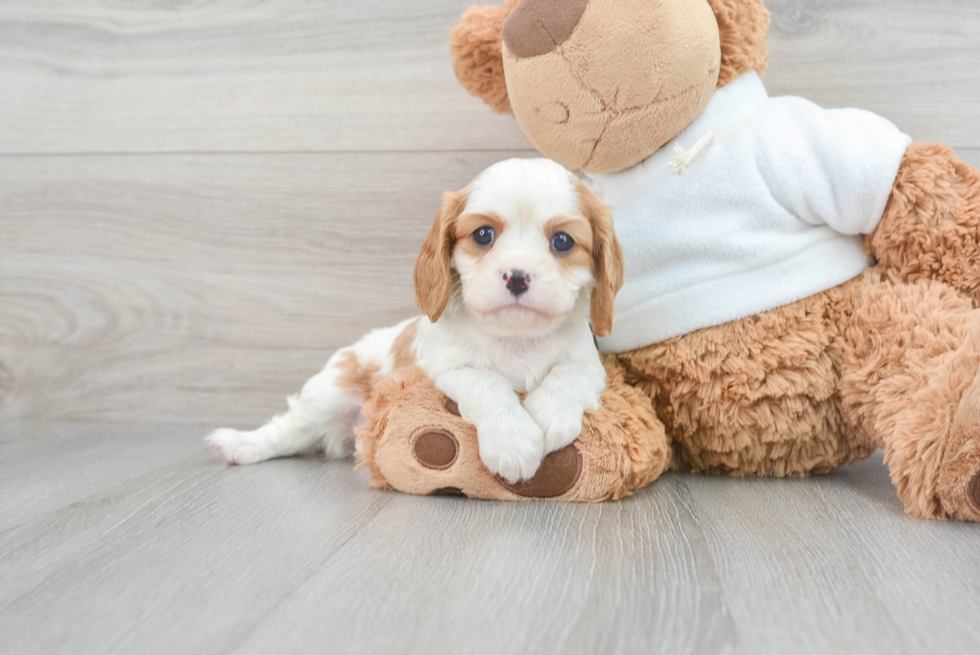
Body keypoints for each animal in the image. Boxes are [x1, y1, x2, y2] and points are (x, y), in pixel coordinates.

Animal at [208, 159, 624, 482]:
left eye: (563, 241)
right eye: (483, 234)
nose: (517, 277)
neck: (516, 338)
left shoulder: (589, 363)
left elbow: (569, 375)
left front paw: (549, 415)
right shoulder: (443, 367)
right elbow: (486, 382)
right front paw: (514, 441)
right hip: (330, 391)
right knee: (288, 429)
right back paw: (241, 444)